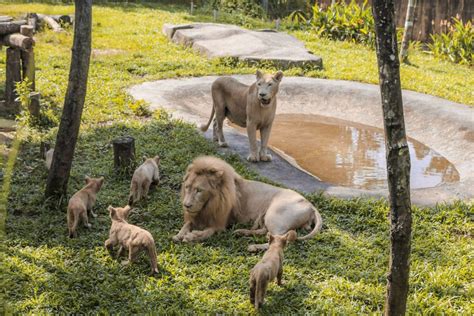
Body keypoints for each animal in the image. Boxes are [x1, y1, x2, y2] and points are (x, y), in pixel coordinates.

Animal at [171, 156, 322, 252]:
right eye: (187, 187)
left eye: (199, 190)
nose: (186, 205)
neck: (209, 203)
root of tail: (310, 205)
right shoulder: (196, 216)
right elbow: (187, 224)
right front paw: (179, 235)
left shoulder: (220, 223)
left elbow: (208, 231)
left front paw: (191, 236)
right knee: (266, 232)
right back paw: (240, 232)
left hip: (274, 214)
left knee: (280, 239)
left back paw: (253, 247)